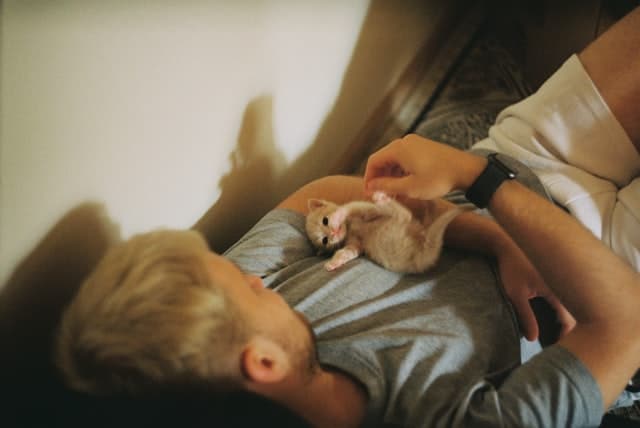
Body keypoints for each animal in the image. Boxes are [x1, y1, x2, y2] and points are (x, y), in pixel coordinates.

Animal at [304, 192, 470, 272]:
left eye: (325, 221)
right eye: (325, 240)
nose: (333, 233)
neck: (350, 228)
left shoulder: (365, 209)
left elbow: (353, 207)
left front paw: (338, 215)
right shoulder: (355, 244)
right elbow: (347, 252)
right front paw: (334, 263)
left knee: (404, 214)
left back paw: (382, 199)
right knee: (405, 215)